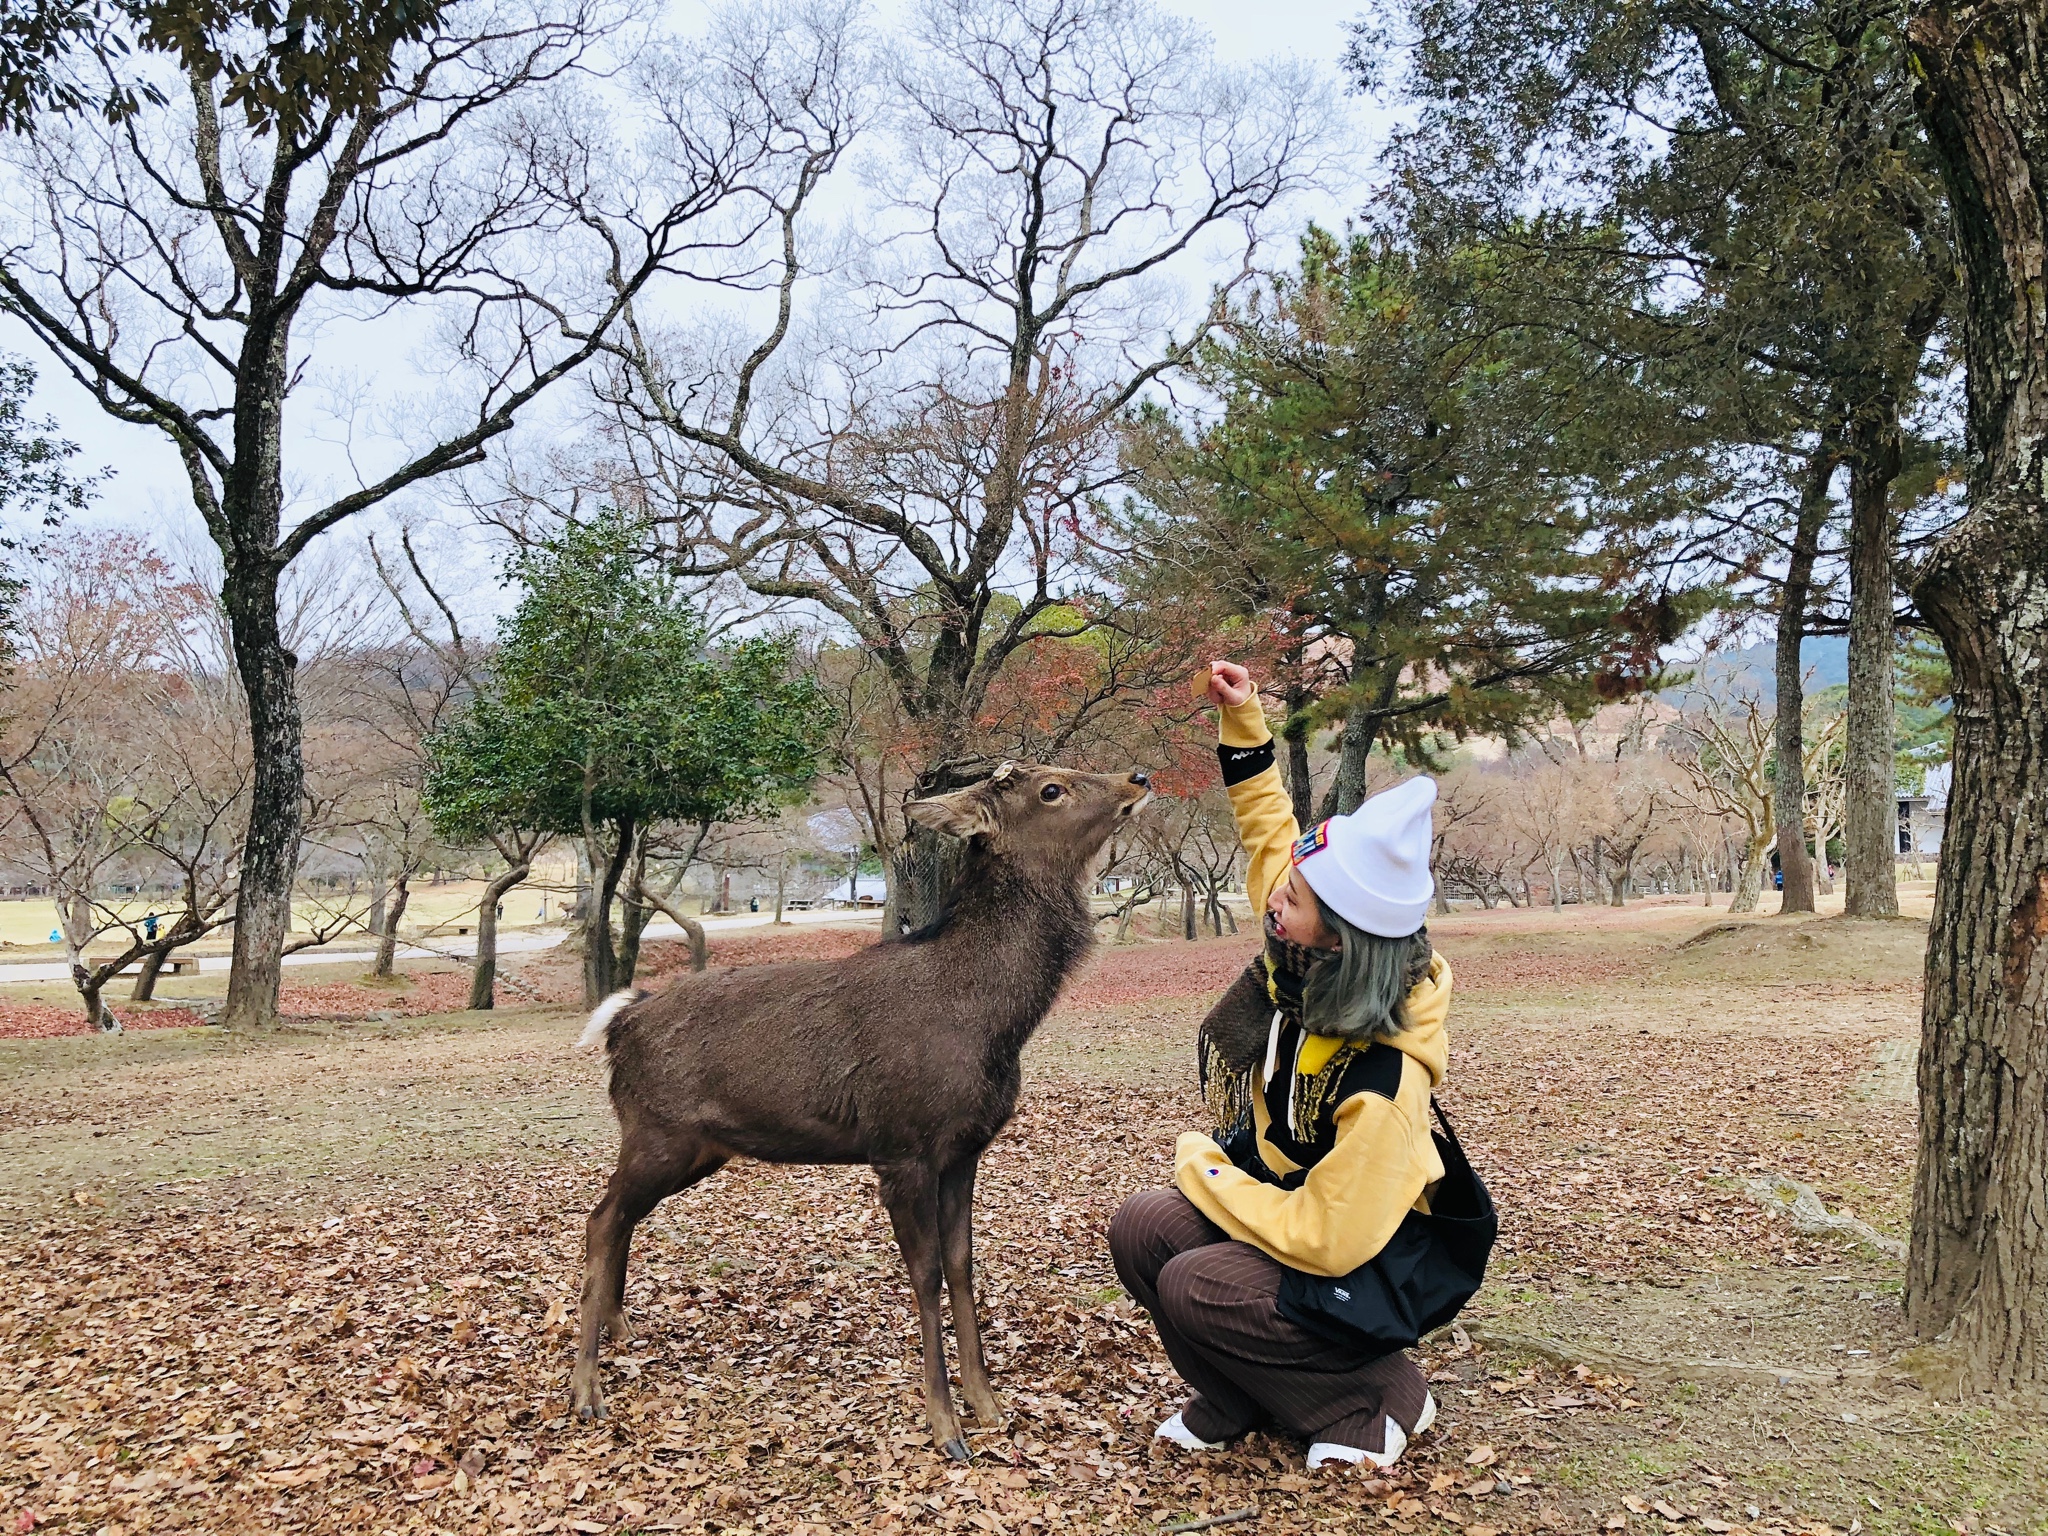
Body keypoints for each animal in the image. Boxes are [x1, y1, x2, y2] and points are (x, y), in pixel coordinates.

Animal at [569, 765, 1155, 1458]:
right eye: (1051, 790)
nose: (1138, 778)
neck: (994, 1025)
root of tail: (620, 1021)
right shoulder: (901, 1148)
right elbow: (925, 1274)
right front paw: (944, 1424)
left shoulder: (965, 1150)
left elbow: (962, 1265)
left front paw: (986, 1404)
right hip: (656, 1132)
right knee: (600, 1219)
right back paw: (586, 1389)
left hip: (695, 1147)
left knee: (620, 1218)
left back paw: (619, 1331)